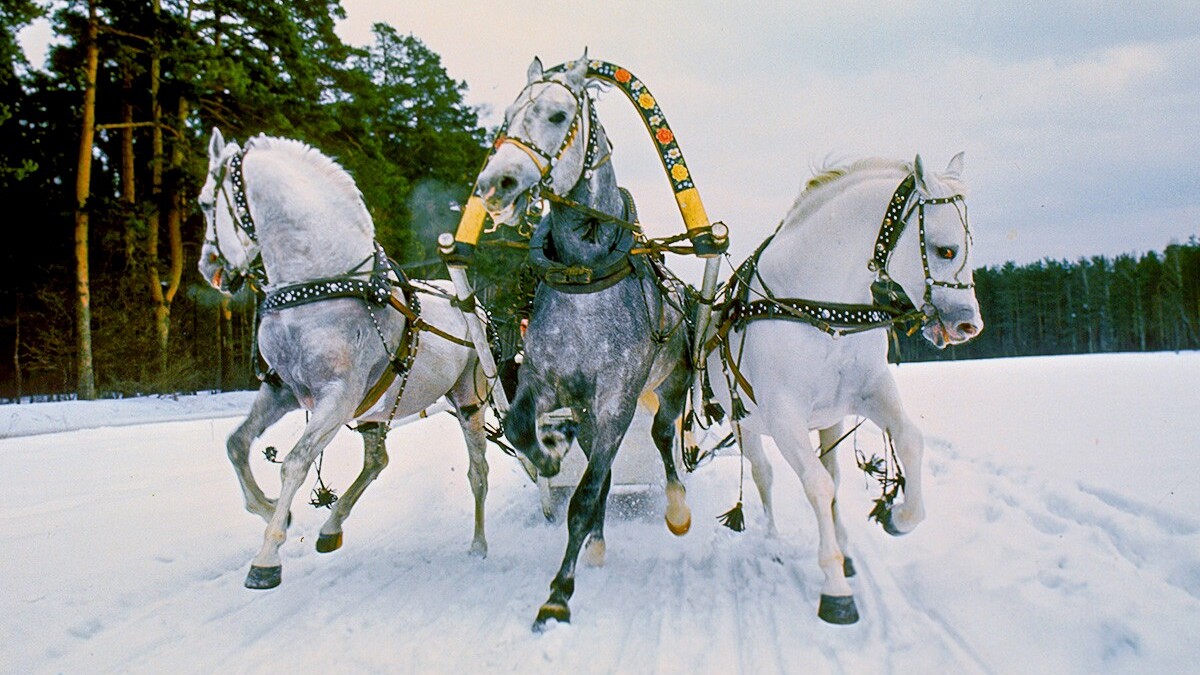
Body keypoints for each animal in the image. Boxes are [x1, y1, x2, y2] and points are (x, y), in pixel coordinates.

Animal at [196, 128, 492, 586]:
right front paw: (269, 509)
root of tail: (471, 304)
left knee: (478, 472)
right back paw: (331, 526)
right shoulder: (282, 389)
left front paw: (267, 556)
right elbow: (236, 443)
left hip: (468, 399)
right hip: (378, 408)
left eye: (205, 204)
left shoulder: (338, 395)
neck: (322, 287)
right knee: (377, 461)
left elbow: (295, 463)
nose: (207, 267)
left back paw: (478, 544)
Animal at [470, 52, 691, 629]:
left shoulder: (616, 398)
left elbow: (588, 492)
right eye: (507, 117)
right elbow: (524, 429)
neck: (585, 275)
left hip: (671, 383)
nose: (494, 183)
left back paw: (676, 507)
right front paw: (549, 455)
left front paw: (558, 593)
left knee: (662, 436)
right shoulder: (545, 381)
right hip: (590, 410)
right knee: (603, 462)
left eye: (556, 114)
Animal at [705, 152, 979, 619]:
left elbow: (909, 441)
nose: (969, 324)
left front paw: (898, 517)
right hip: (746, 426)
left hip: (829, 419)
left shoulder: (869, 390)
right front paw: (834, 587)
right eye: (946, 249)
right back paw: (774, 543)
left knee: (831, 470)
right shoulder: (784, 415)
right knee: (764, 475)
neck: (819, 306)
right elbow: (815, 485)